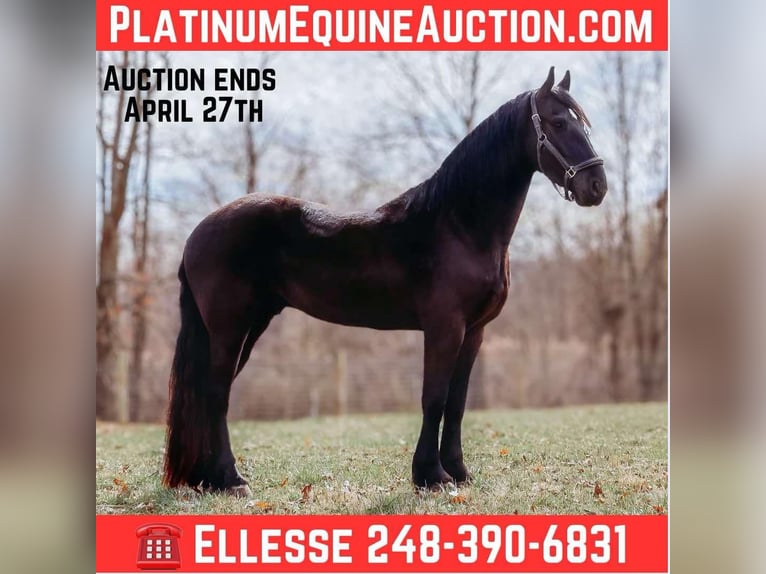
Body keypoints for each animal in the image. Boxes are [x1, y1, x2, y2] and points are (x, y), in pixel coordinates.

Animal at [162, 67, 608, 496]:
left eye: (584, 126)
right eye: (557, 122)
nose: (597, 187)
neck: (459, 225)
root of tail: (197, 234)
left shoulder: (474, 332)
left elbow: (457, 402)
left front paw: (458, 472)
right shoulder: (444, 327)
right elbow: (434, 398)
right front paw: (431, 476)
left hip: (249, 325)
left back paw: (207, 478)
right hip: (231, 327)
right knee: (216, 395)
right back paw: (230, 479)